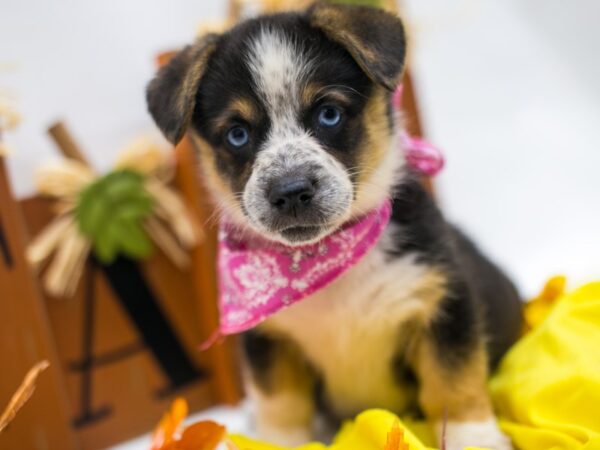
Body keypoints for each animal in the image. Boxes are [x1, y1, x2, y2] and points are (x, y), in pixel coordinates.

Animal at [145, 1, 520, 448]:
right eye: (237, 134)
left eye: (329, 114)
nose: (290, 191)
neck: (323, 263)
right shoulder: (271, 339)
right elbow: (282, 406)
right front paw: (277, 441)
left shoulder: (441, 302)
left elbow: (453, 385)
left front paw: (476, 439)